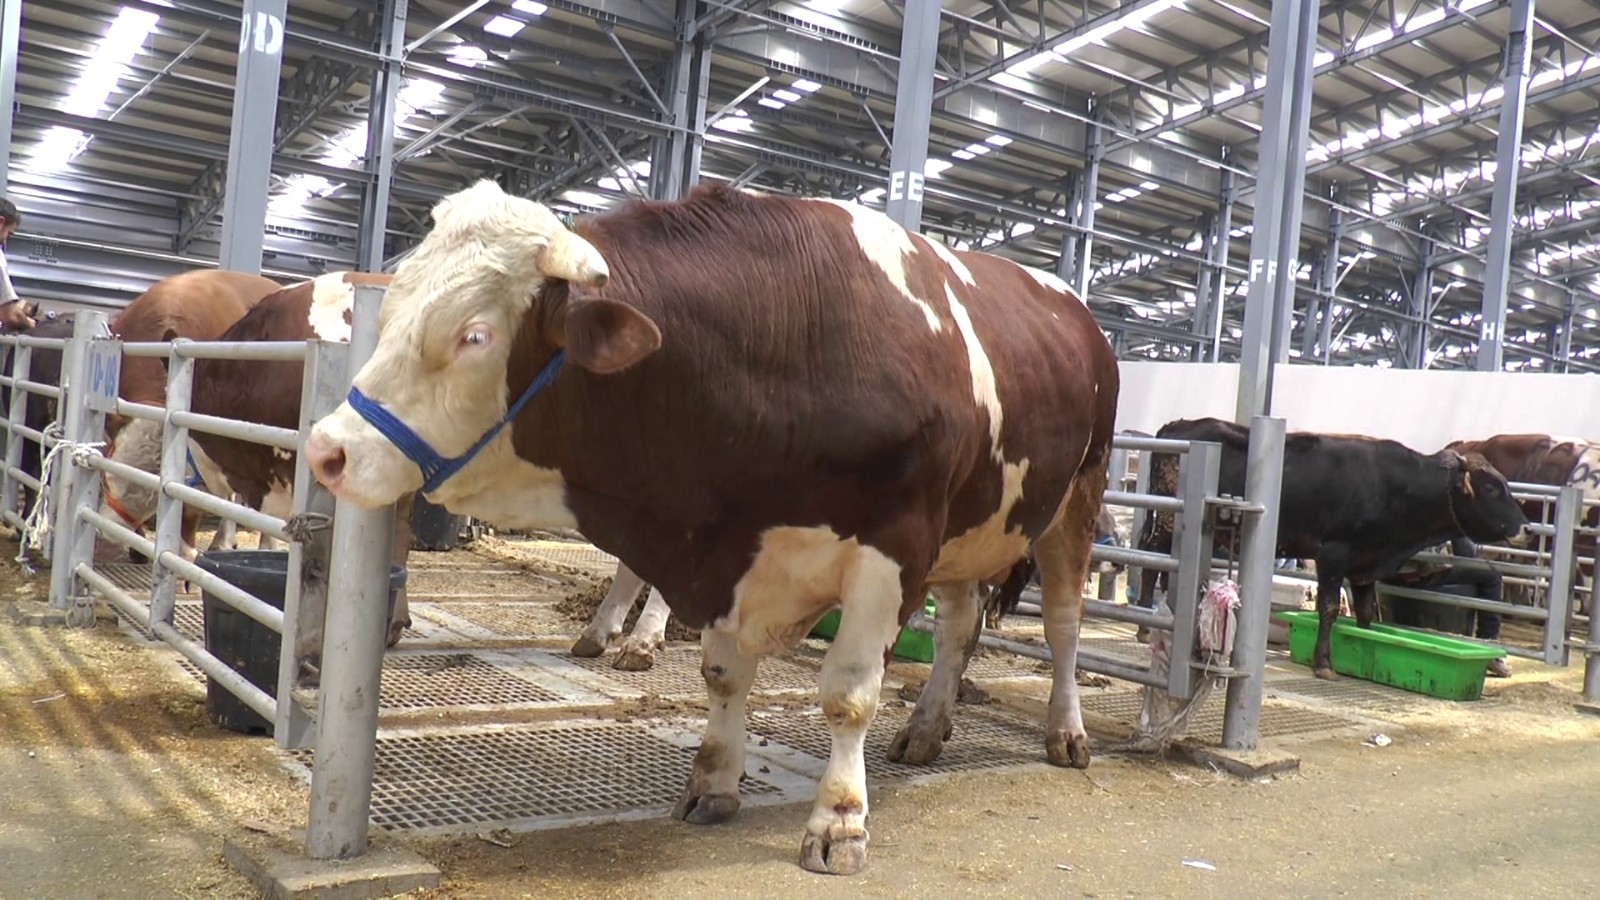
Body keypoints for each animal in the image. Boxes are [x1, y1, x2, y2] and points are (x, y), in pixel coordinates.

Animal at [305, 178, 1120, 871]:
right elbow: (724, 675)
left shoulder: (895, 546)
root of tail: (1078, 310)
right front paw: (714, 784)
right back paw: (925, 727)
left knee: (1063, 625)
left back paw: (1065, 732)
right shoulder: (727, 543)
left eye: (473, 335)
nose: (327, 449)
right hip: (975, 522)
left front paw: (839, 822)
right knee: (959, 625)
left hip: (1075, 500)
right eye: (395, 306)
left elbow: (848, 694)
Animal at [1132, 416, 1529, 675]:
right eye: (1492, 487)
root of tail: (1177, 426)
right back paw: (1142, 626)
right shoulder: (1333, 555)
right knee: (1150, 560)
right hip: (1166, 520)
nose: (1524, 526)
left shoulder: (1366, 565)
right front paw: (1323, 663)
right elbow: (1329, 609)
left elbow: (1366, 614)